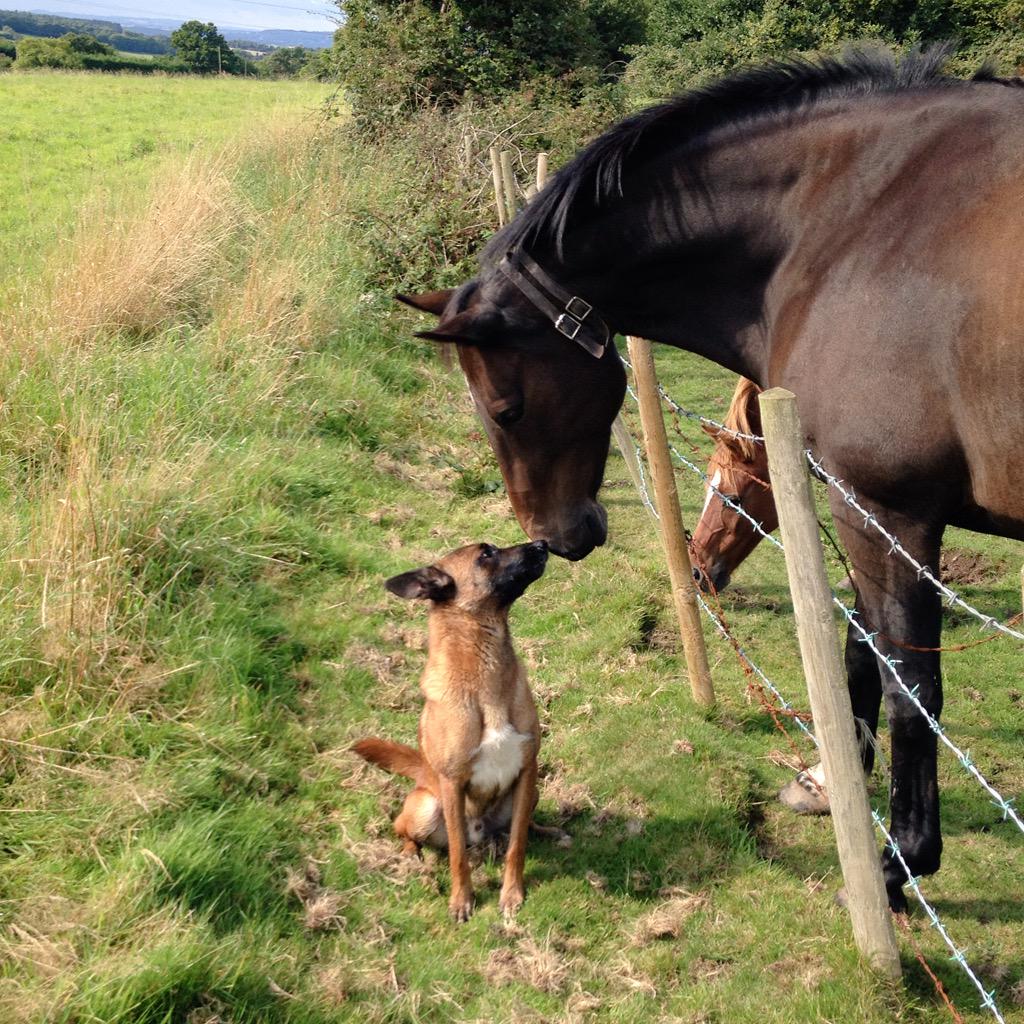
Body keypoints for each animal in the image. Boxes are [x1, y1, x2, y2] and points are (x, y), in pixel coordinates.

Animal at [397, 47, 1024, 911]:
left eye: (506, 407)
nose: (552, 538)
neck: (852, 226)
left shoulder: (887, 509)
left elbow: (909, 686)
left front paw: (900, 864)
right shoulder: (859, 507)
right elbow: (858, 651)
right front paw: (829, 784)